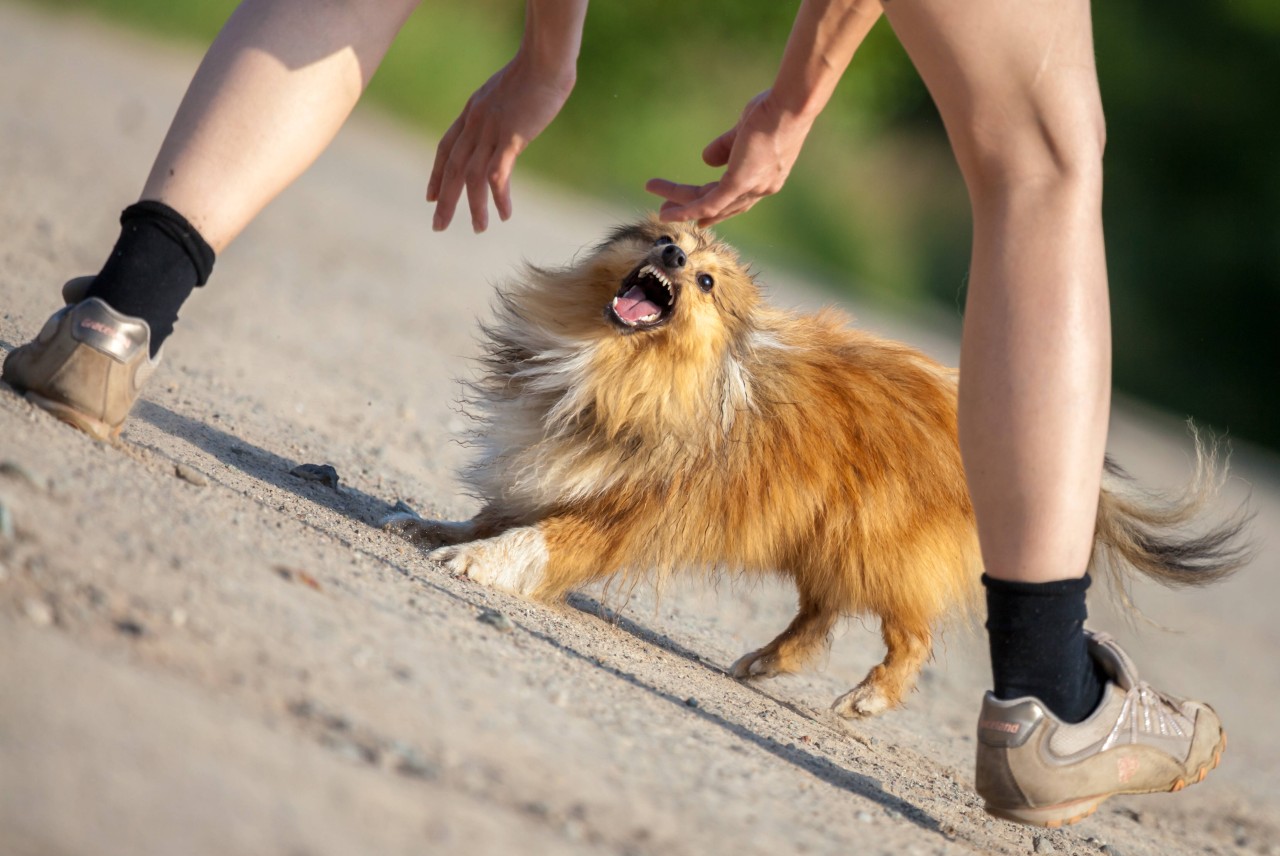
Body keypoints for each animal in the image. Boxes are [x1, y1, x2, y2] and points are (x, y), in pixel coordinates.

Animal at [386, 217, 1249, 716]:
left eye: (706, 281)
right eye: (669, 242)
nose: (673, 254)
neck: (614, 365)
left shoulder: (621, 511)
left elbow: (539, 540)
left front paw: (476, 563)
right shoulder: (550, 463)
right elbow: (498, 510)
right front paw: (437, 527)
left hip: (877, 546)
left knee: (911, 635)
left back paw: (866, 699)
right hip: (826, 536)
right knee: (818, 616)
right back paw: (764, 661)